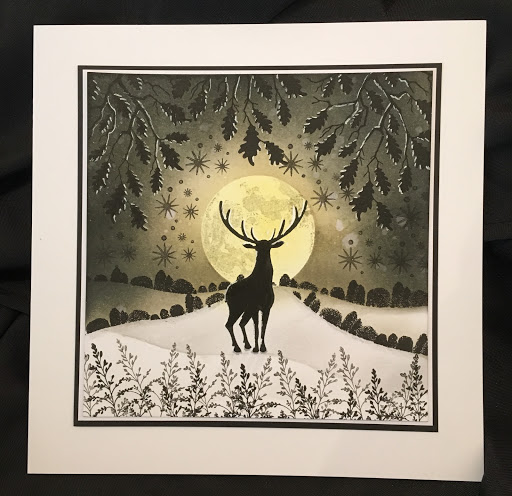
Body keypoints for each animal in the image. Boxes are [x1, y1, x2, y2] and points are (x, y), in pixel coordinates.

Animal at [219, 200, 308, 353]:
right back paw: (237, 347)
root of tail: (227, 292)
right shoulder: (255, 306)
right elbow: (256, 328)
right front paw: (256, 348)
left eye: (269, 247)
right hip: (235, 306)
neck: (263, 286)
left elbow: (263, 328)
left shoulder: (267, 307)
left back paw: (246, 345)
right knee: (229, 324)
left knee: (240, 323)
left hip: (244, 308)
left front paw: (263, 347)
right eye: (256, 247)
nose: (262, 257)